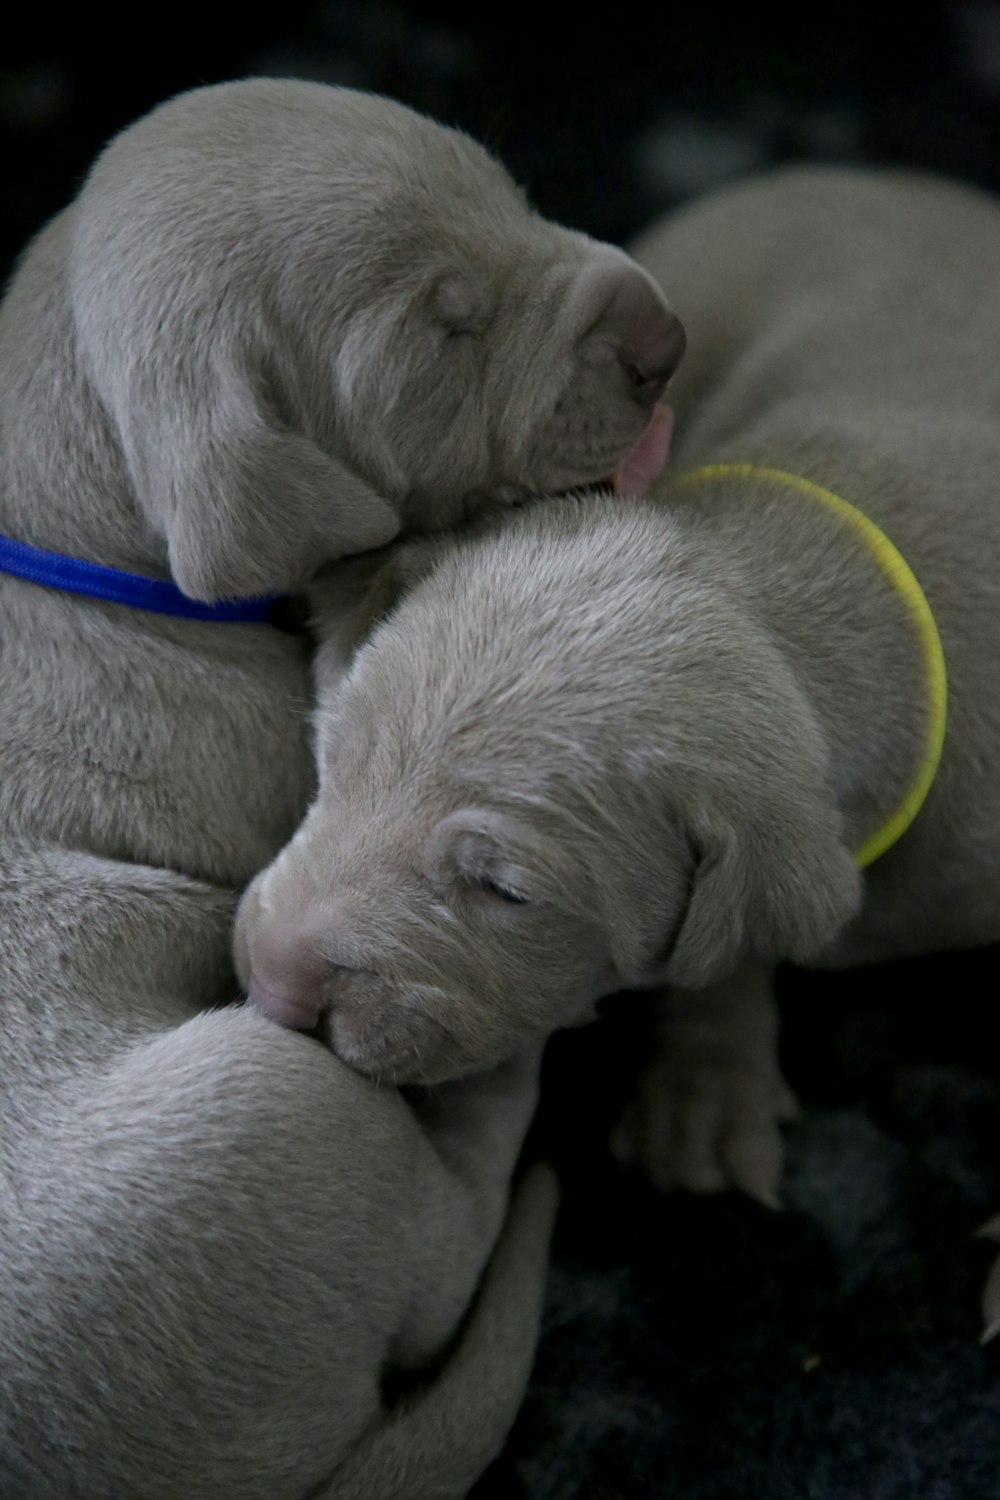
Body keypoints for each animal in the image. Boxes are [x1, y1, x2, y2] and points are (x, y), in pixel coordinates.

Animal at [0, 76, 689, 1500]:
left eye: (509, 190)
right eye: (447, 328)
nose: (665, 334)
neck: (70, 526)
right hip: (273, 1111)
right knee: (449, 1238)